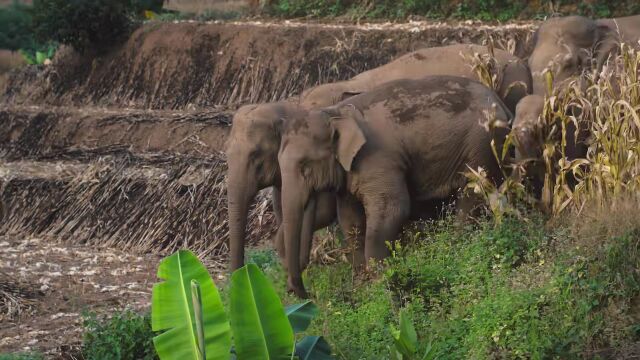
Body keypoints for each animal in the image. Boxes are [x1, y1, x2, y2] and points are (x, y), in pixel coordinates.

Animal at [278, 75, 510, 296]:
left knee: (472, 196)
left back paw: (457, 245)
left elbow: (392, 210)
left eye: (304, 166)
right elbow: (351, 222)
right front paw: (364, 286)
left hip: (482, 145)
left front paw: (381, 280)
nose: (298, 291)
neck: (334, 113)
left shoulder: (377, 158)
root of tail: (501, 103)